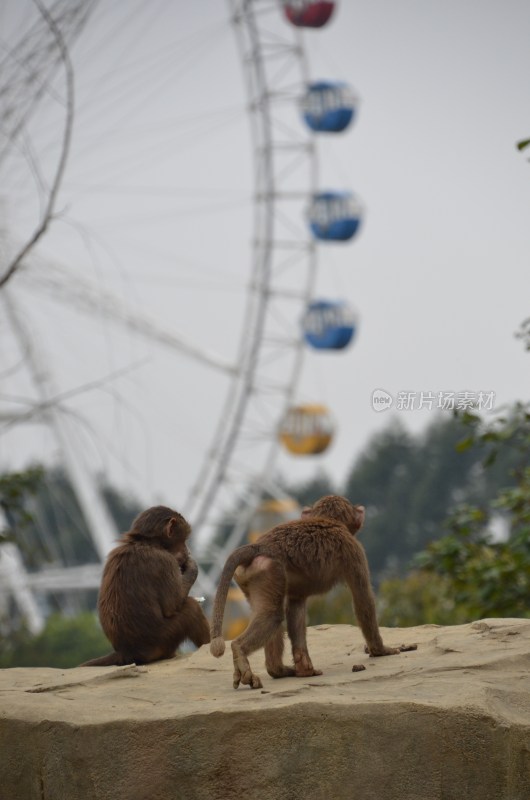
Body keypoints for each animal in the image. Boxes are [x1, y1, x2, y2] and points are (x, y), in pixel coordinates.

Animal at [80, 504, 208, 664]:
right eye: (183, 540)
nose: (187, 551)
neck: (145, 542)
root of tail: (125, 652)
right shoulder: (165, 561)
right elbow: (172, 605)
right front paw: (192, 566)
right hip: (163, 640)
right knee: (192, 608)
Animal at [209, 494, 412, 688]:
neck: (329, 519)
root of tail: (259, 546)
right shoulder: (355, 551)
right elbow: (363, 599)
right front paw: (381, 651)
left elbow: (296, 606)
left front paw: (304, 667)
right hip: (270, 571)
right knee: (272, 615)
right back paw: (240, 649)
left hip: (253, 577)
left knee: (269, 612)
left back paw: (277, 670)